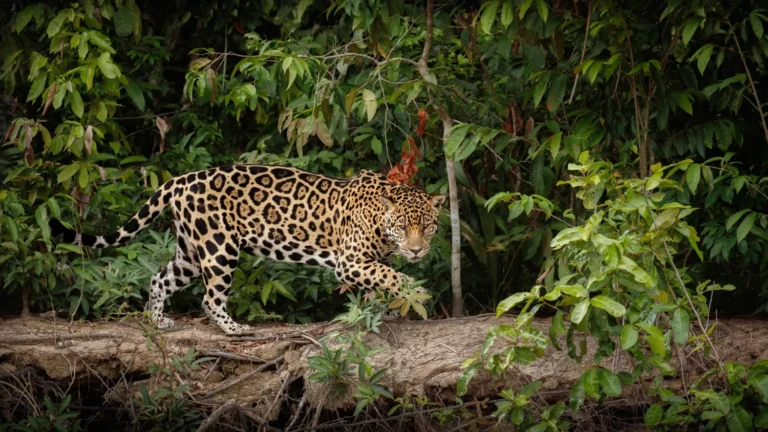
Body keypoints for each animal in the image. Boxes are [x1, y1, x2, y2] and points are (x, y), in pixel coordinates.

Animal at [50, 165, 445, 335]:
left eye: (426, 226)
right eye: (404, 226)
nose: (416, 251)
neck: (381, 221)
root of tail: (179, 180)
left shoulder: (366, 263)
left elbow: (378, 282)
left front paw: (385, 310)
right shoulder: (350, 261)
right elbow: (389, 275)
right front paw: (417, 294)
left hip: (190, 252)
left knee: (159, 278)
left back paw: (157, 319)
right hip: (219, 248)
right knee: (209, 298)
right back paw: (234, 328)